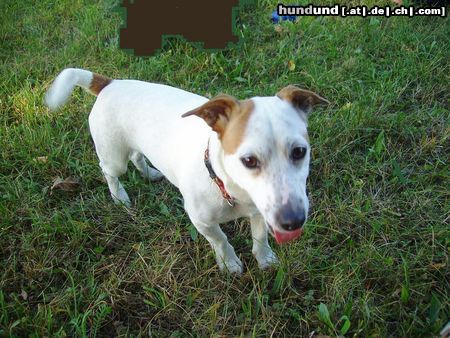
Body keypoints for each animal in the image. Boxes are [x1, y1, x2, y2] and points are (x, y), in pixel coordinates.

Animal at [44, 68, 326, 272]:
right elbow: (221, 240)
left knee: (137, 155)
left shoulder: (259, 212)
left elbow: (260, 238)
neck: (225, 186)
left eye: (299, 152)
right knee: (109, 170)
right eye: (249, 161)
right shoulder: (201, 221)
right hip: (114, 156)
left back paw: (149, 173)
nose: (293, 221)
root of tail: (109, 84)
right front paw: (229, 263)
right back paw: (119, 196)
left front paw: (265, 259)